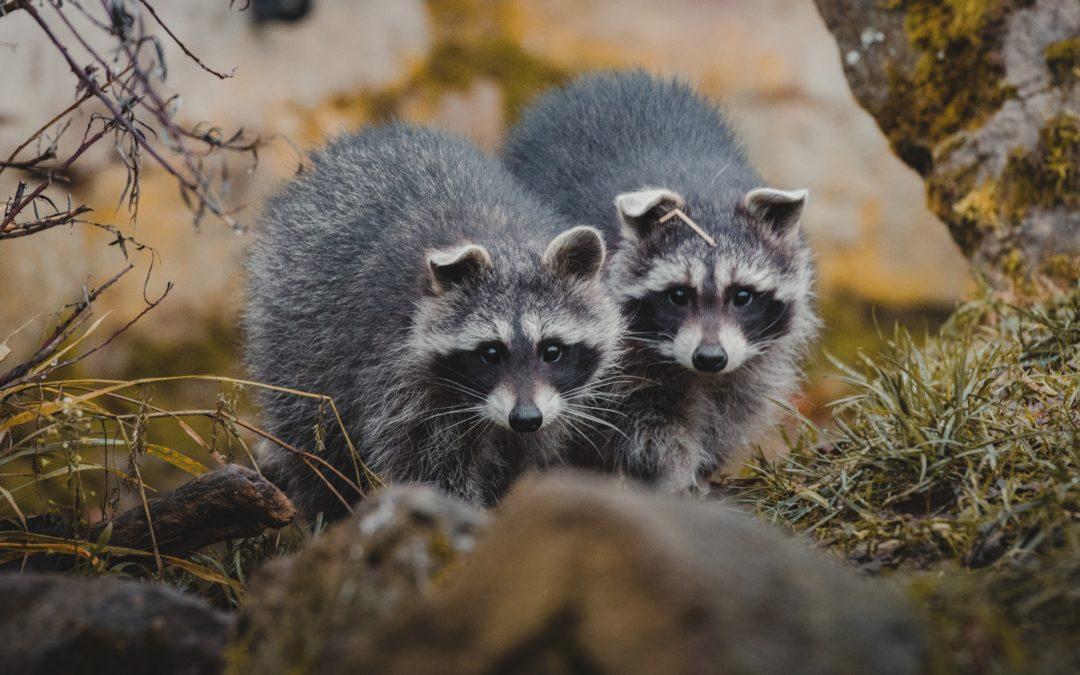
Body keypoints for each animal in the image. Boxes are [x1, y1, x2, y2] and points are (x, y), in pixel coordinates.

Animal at [243, 125, 617, 516]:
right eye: (491, 353)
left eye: (552, 350)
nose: (526, 418)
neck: (503, 241)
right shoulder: (397, 373)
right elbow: (426, 467)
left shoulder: (553, 409)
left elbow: (526, 457)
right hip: (296, 331)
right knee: (313, 439)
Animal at [503, 71, 816, 492]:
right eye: (678, 295)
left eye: (742, 296)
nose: (710, 357)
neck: (704, 189)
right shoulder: (616, 354)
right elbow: (642, 421)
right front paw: (672, 470)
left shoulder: (754, 354)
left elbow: (734, 406)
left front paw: (706, 463)